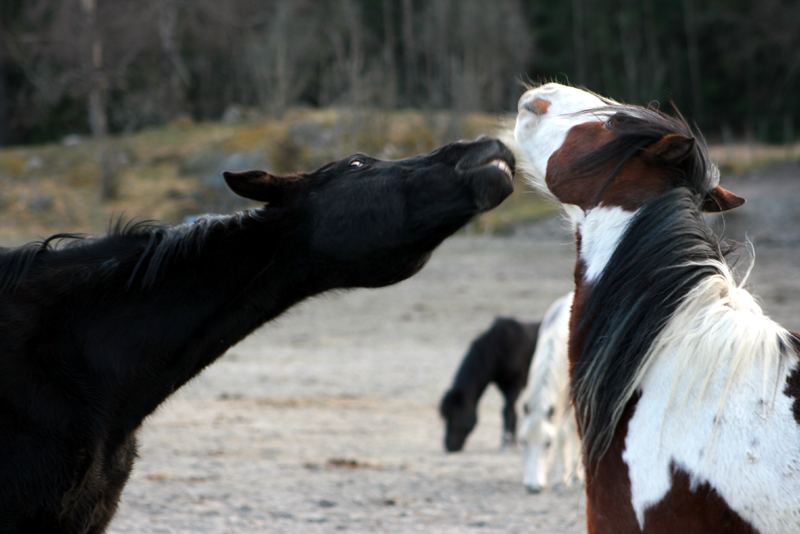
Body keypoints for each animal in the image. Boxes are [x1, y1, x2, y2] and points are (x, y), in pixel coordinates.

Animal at [440, 320, 540, 454]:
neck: (498, 350)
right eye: (446, 416)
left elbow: (508, 411)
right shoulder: (504, 388)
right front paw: (510, 442)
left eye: (456, 415)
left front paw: (507, 444)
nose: (449, 446)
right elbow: (510, 413)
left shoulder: (514, 386)